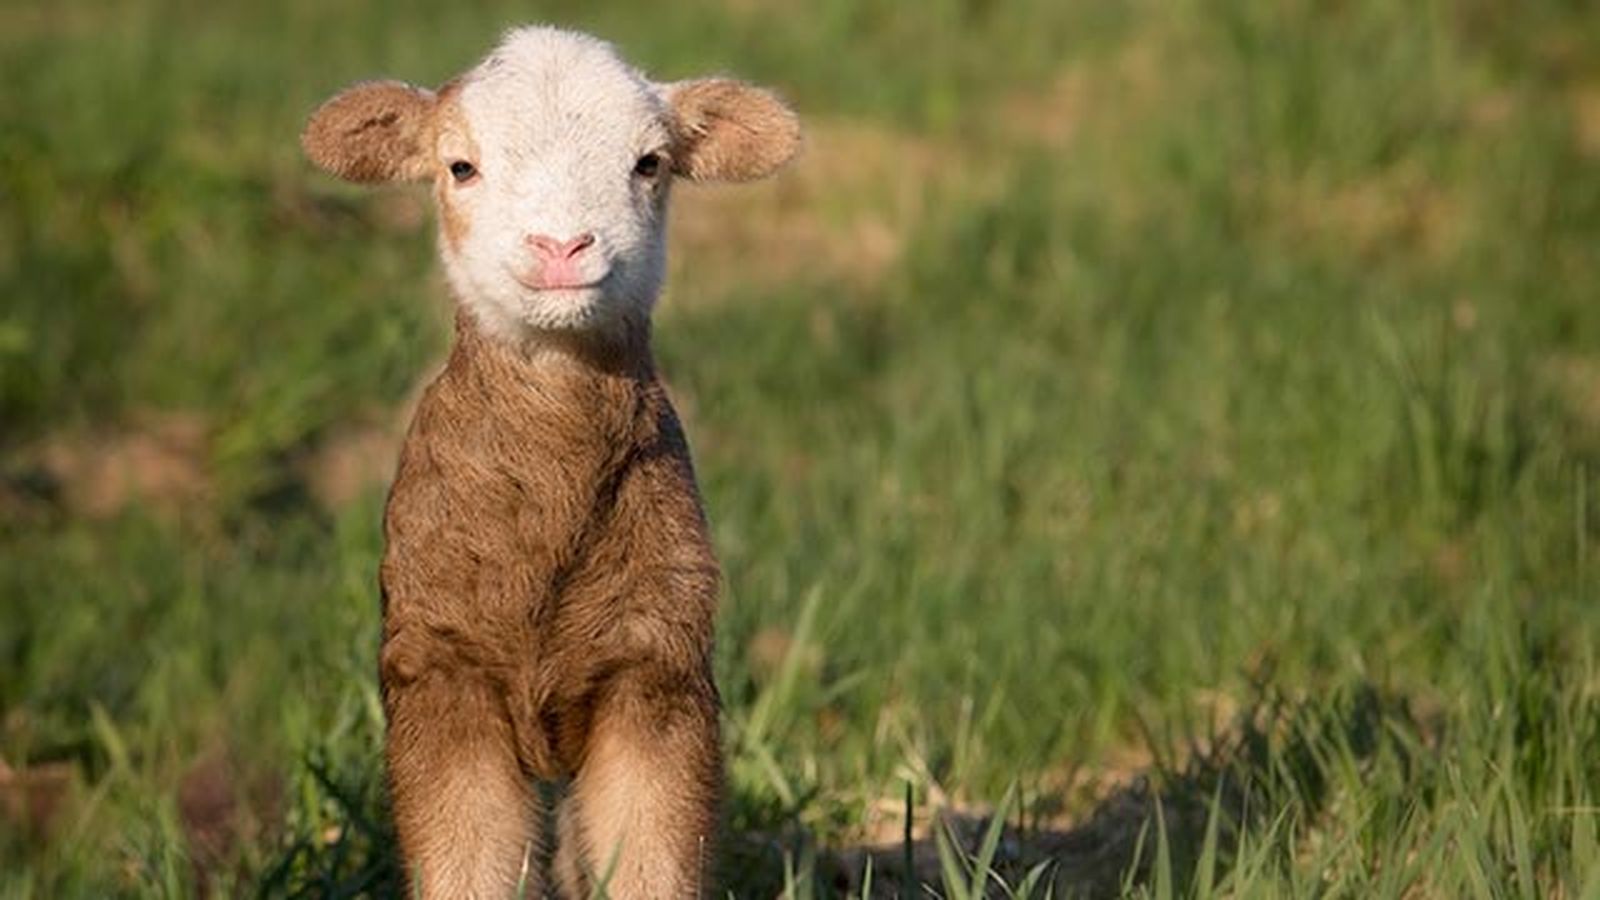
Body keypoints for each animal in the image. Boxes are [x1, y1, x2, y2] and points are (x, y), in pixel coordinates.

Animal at [301, 26, 800, 899]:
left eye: (649, 163)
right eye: (460, 167)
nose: (562, 246)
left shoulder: (656, 664)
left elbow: (652, 862)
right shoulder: (439, 665)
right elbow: (466, 865)